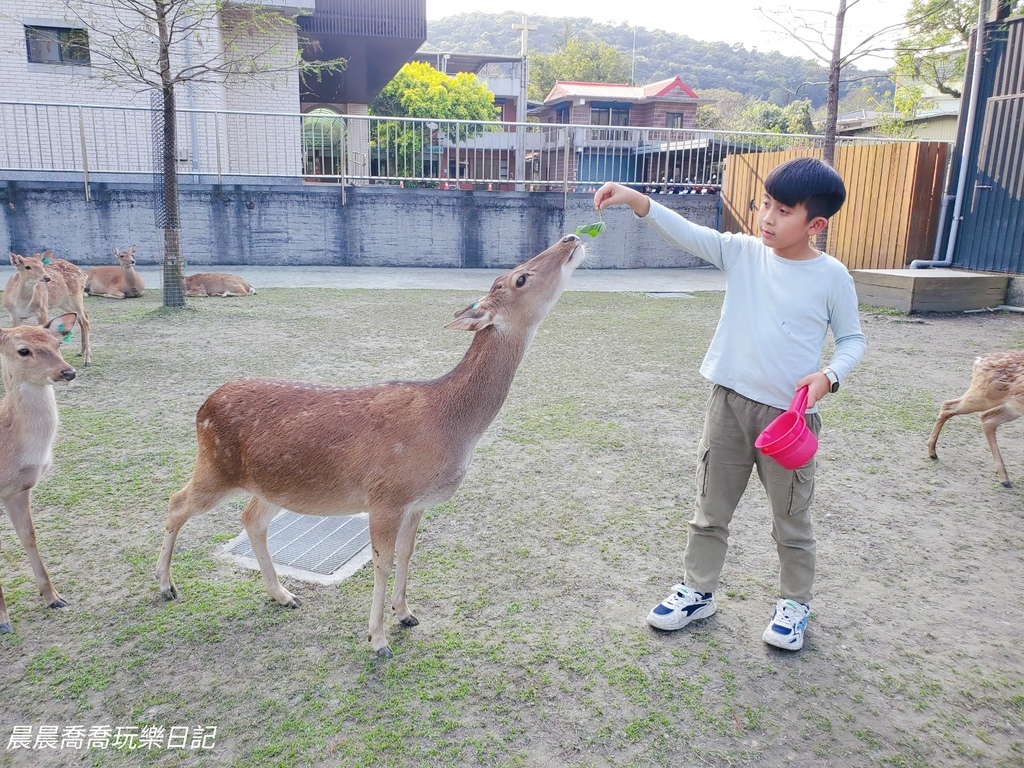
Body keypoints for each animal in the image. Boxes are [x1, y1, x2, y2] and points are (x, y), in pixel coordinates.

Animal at [151, 233, 585, 655]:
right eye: (520, 278)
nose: (571, 238)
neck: (448, 422)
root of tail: (202, 407)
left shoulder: (416, 503)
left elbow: (407, 555)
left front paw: (406, 614)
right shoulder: (385, 496)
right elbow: (382, 563)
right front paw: (378, 640)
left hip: (271, 483)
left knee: (251, 519)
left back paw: (284, 595)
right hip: (216, 465)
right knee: (176, 501)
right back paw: (167, 586)